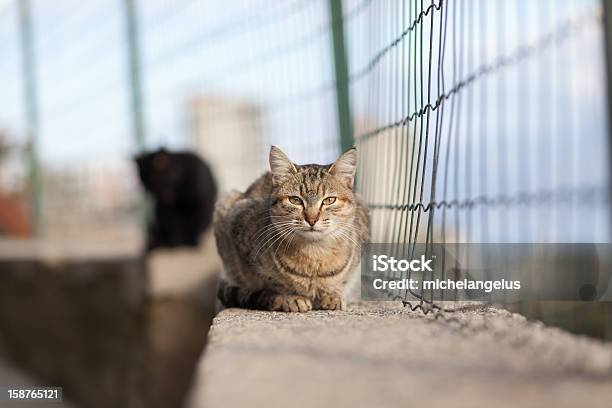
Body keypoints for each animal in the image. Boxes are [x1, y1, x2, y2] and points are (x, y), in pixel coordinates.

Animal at [214, 147, 368, 312]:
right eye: (295, 200)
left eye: (329, 200)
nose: (312, 219)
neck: (314, 253)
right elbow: (271, 282)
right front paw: (289, 297)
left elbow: (341, 281)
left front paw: (332, 295)